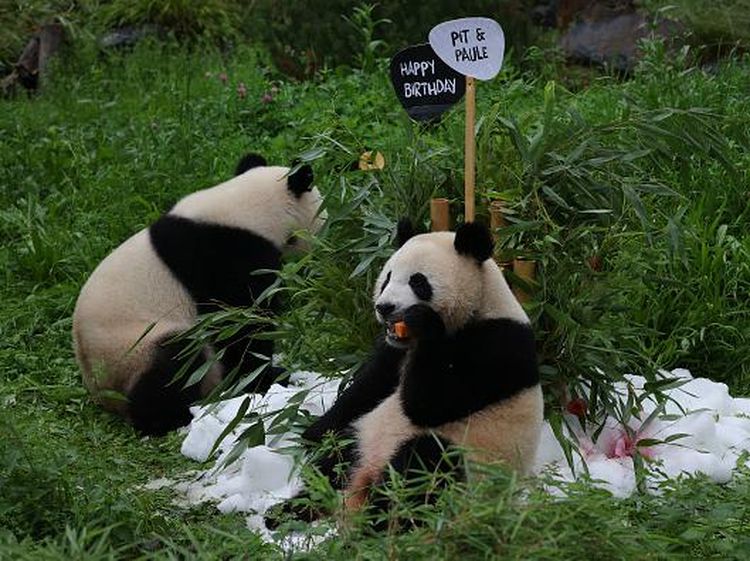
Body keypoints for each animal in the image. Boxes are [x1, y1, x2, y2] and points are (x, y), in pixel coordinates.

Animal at [72, 154, 325, 436]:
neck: (246, 210)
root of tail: (103, 393)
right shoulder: (226, 257)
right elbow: (241, 324)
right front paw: (264, 378)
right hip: (133, 348)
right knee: (175, 361)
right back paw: (171, 418)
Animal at [268, 220, 542, 526]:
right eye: (387, 277)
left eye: (418, 282)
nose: (384, 307)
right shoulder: (393, 352)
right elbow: (367, 388)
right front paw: (313, 433)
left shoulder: (496, 346)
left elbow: (428, 403)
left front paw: (422, 321)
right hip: (364, 434)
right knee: (336, 461)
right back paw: (287, 511)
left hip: (472, 465)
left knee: (424, 466)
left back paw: (375, 524)